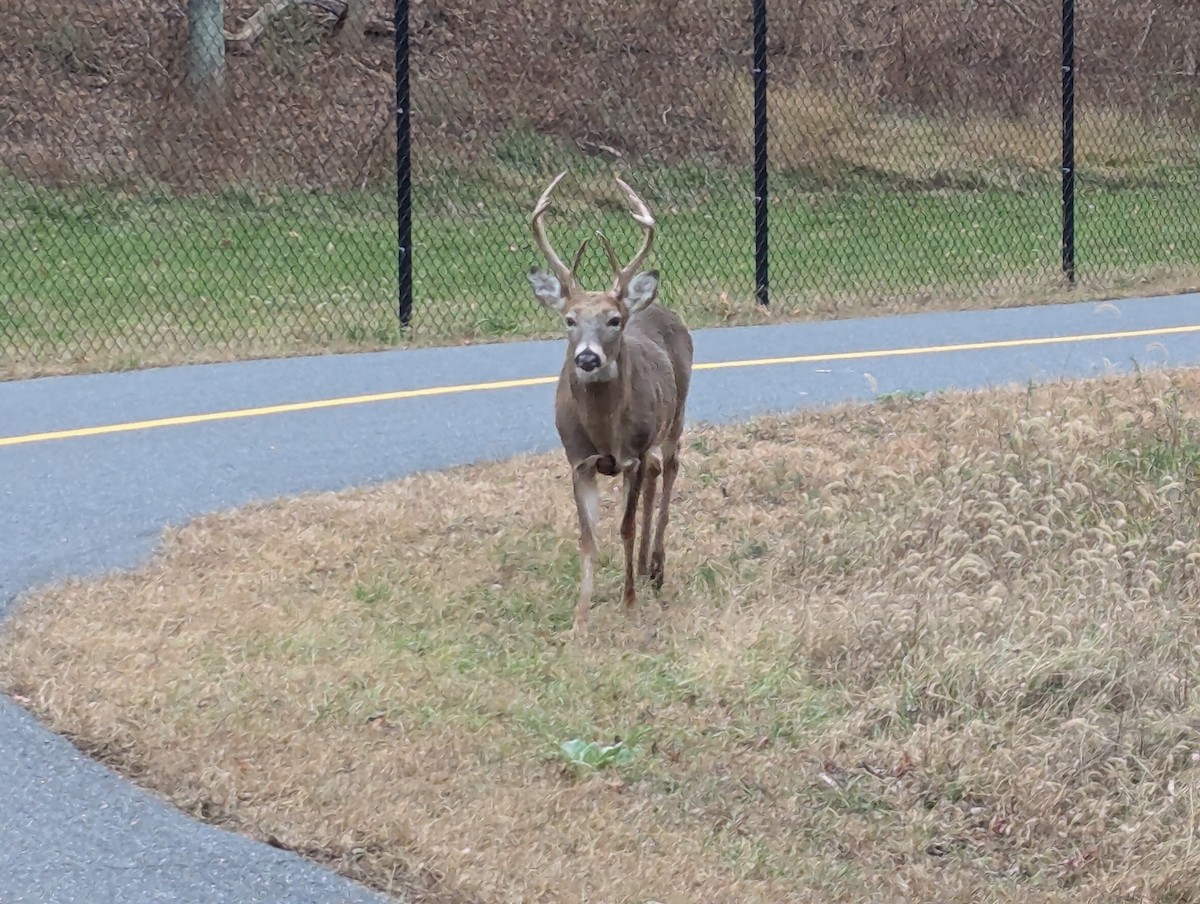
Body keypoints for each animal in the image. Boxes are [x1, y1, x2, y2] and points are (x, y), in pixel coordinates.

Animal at [526, 171, 694, 633]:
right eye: (569, 320)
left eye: (613, 320)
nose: (587, 358)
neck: (603, 430)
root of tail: (655, 306)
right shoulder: (578, 460)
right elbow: (588, 538)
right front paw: (580, 620)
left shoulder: (629, 456)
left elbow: (625, 527)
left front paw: (629, 603)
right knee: (656, 471)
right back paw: (646, 568)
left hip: (677, 417)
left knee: (670, 469)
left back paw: (655, 568)